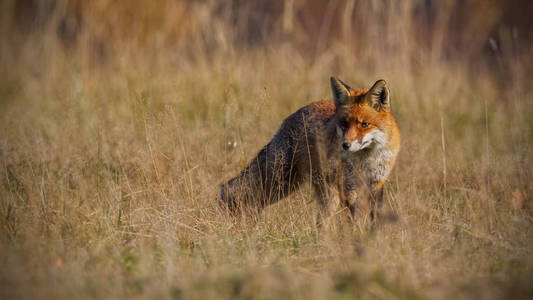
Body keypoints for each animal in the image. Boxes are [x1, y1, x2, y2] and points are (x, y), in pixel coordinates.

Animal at [219, 78, 400, 227]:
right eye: (343, 124)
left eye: (364, 124)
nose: (345, 145)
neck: (366, 160)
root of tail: (295, 113)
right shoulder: (347, 185)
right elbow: (354, 218)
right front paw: (358, 237)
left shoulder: (376, 183)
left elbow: (374, 216)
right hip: (282, 182)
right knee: (240, 192)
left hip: (317, 191)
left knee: (320, 222)